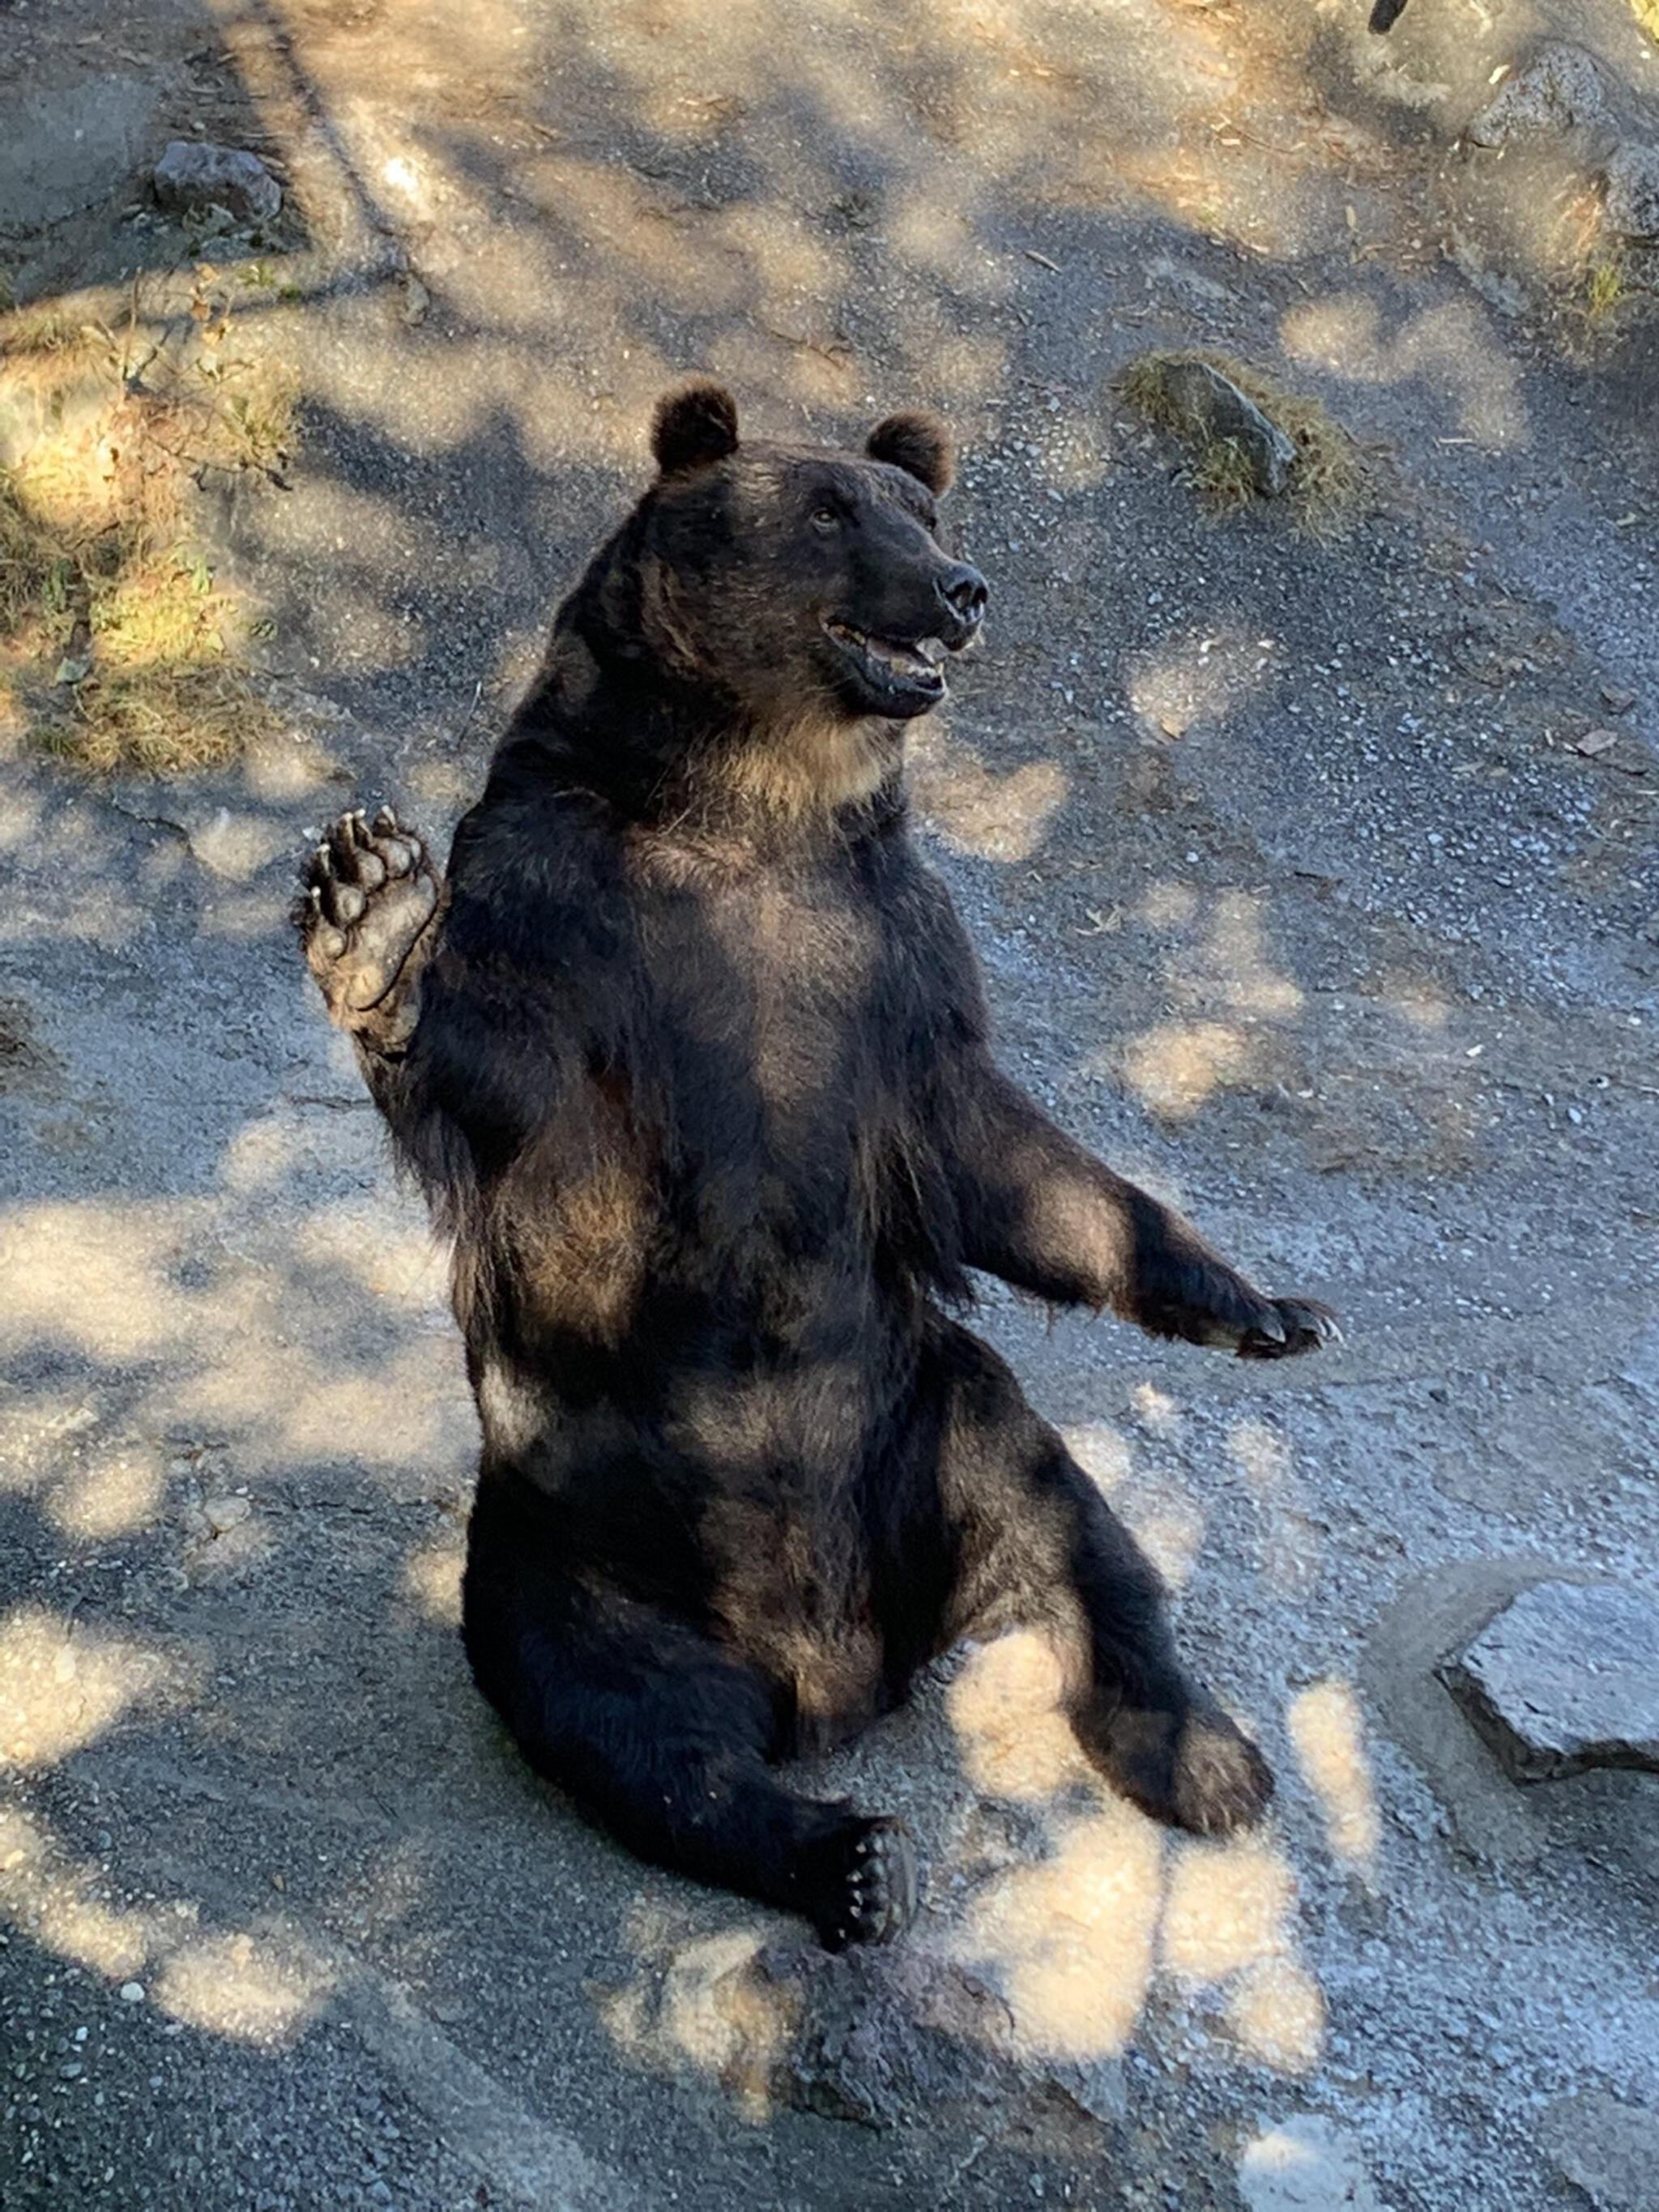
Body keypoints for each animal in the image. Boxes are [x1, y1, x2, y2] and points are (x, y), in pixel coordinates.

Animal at [298, 385, 1336, 1955]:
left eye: (923, 509)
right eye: (830, 512)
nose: (962, 590)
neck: (752, 803)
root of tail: (835, 1674)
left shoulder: (889, 959)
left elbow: (1007, 1155)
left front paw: (1266, 1306)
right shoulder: (581, 917)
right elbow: (508, 1066)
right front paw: (370, 905)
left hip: (926, 1432)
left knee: (1076, 1537)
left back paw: (1206, 1756)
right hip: (578, 1538)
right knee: (631, 1726)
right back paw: (842, 1855)